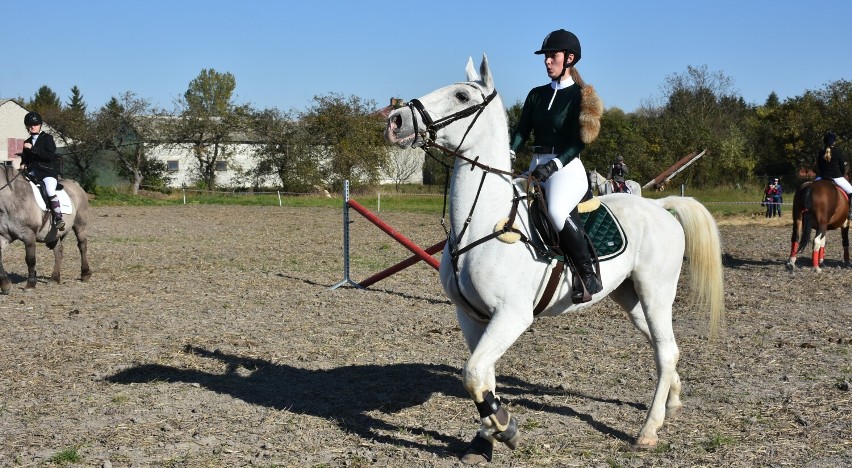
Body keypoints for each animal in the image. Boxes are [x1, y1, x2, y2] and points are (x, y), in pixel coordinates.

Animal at [0, 166, 91, 294]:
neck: (12, 199)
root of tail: (75, 184)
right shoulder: (3, 236)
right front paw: (5, 285)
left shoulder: (29, 235)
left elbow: (30, 259)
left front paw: (30, 284)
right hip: (54, 233)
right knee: (58, 251)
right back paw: (55, 278)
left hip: (80, 224)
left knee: (82, 246)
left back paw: (85, 274)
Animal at [382, 54, 724, 464]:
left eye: (462, 95)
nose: (396, 120)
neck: (481, 222)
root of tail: (660, 207)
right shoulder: (472, 317)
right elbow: (484, 378)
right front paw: (486, 438)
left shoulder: (512, 316)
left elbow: (473, 374)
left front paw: (504, 427)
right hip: (630, 295)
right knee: (664, 349)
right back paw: (672, 404)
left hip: (655, 292)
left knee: (667, 350)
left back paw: (648, 432)